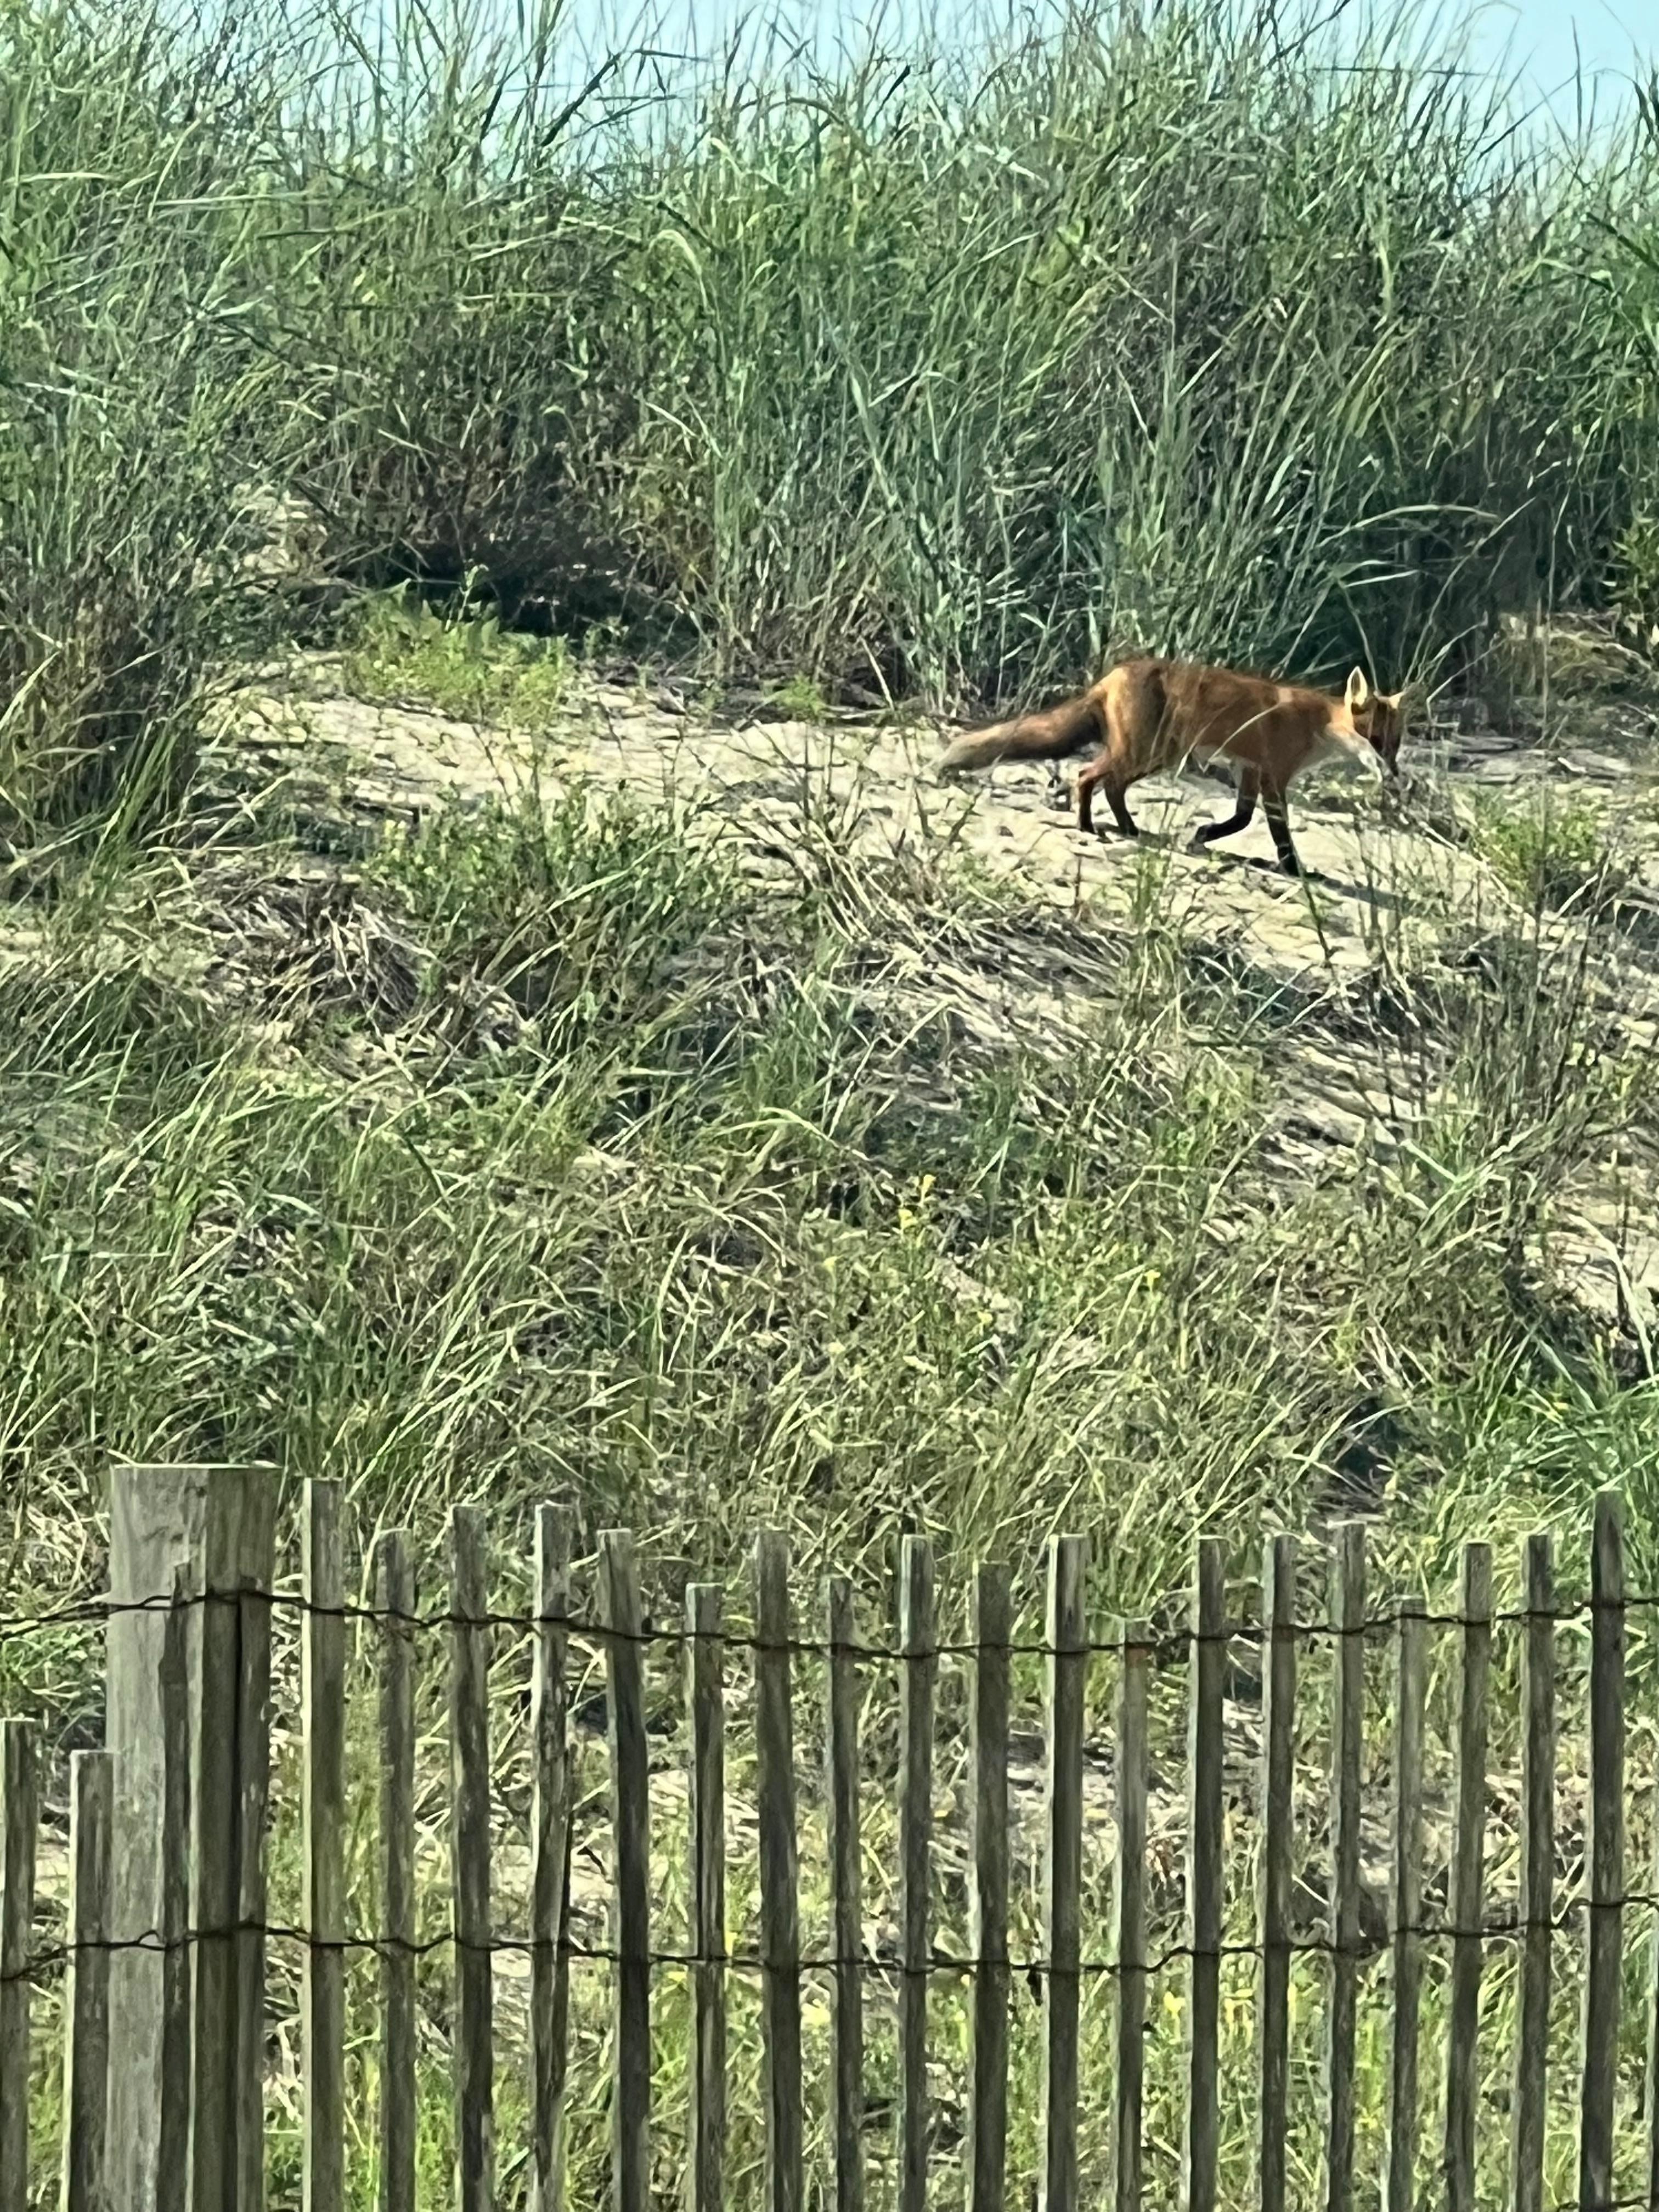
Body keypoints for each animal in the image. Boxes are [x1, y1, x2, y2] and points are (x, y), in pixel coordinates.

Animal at [937, 656, 1406, 878]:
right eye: (1375, 741)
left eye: (1395, 745)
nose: (1394, 777)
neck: (1317, 725)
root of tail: (1114, 674)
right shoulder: (1274, 776)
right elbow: (1279, 834)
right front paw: (1295, 870)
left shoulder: (1249, 770)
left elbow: (1240, 819)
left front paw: (1203, 835)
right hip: (1145, 753)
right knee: (1088, 777)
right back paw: (1088, 827)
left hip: (1154, 755)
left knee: (1110, 786)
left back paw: (1126, 829)